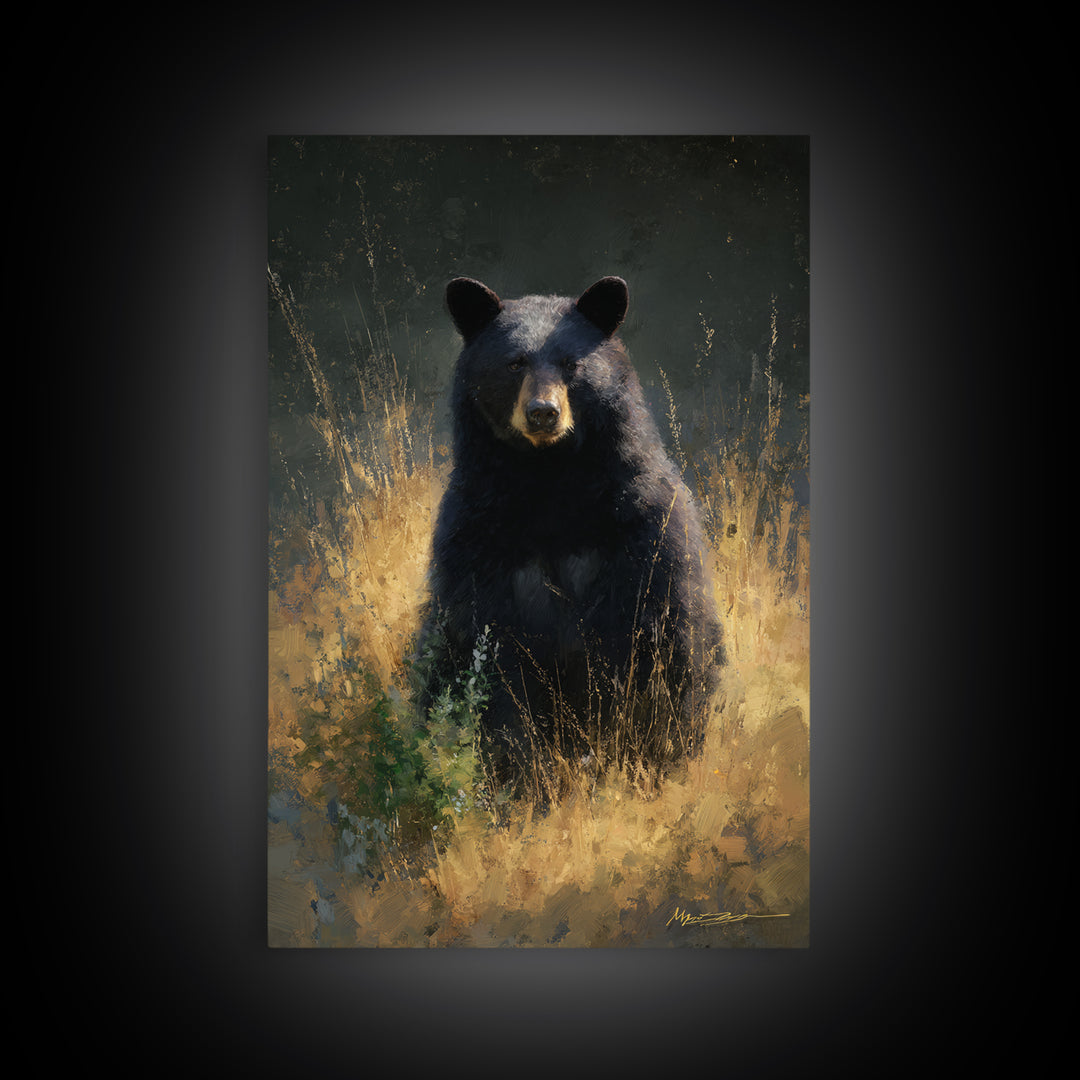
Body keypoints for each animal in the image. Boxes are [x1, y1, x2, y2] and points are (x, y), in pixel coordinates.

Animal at [415, 275, 723, 800]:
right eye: (514, 362)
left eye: (570, 364)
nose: (543, 413)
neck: (551, 481)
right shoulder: (475, 536)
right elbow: (491, 655)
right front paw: (522, 780)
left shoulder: (640, 522)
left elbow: (663, 634)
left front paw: (646, 764)